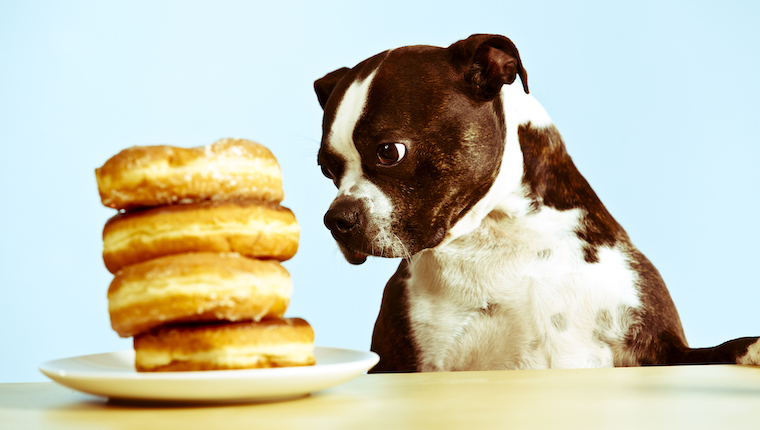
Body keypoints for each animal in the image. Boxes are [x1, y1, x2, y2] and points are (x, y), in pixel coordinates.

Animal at [310, 33, 760, 372]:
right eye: (326, 170)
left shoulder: (661, 347)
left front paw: (752, 347)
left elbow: (717, 350)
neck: (500, 231)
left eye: (390, 152)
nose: (336, 218)